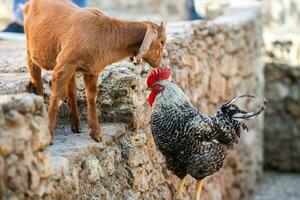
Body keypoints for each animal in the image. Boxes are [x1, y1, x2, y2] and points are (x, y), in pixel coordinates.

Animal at [23, 0, 166, 144]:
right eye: (162, 42)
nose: (159, 61)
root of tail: (29, 5)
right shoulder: (64, 65)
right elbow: (57, 97)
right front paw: (49, 135)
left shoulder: (91, 70)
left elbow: (91, 96)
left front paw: (96, 133)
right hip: (31, 51)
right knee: (38, 82)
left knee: (71, 90)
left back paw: (76, 125)